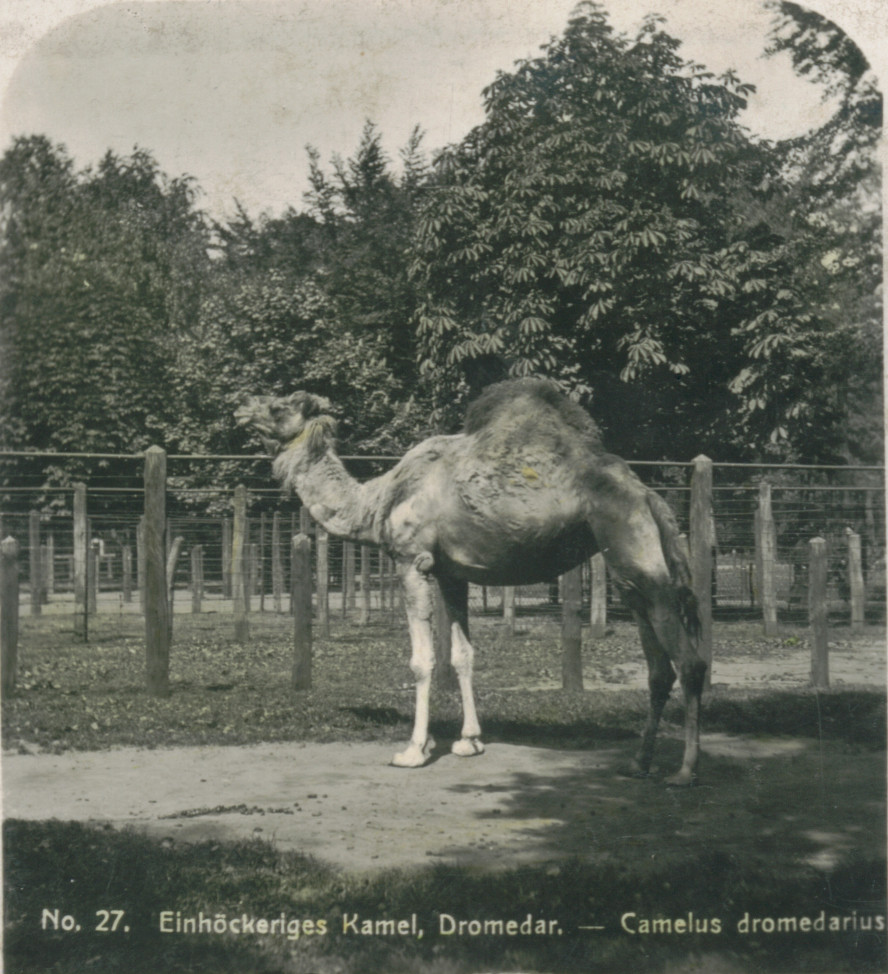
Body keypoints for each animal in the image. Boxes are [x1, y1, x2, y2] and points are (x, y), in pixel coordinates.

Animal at [238, 378, 708, 788]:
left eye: (278, 406)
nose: (241, 407)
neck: (377, 502)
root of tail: (647, 494)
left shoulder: (413, 561)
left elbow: (422, 660)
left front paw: (413, 750)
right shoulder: (452, 573)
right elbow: (462, 655)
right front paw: (468, 741)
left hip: (634, 548)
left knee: (689, 662)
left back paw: (685, 771)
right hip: (629, 568)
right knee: (658, 669)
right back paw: (639, 762)